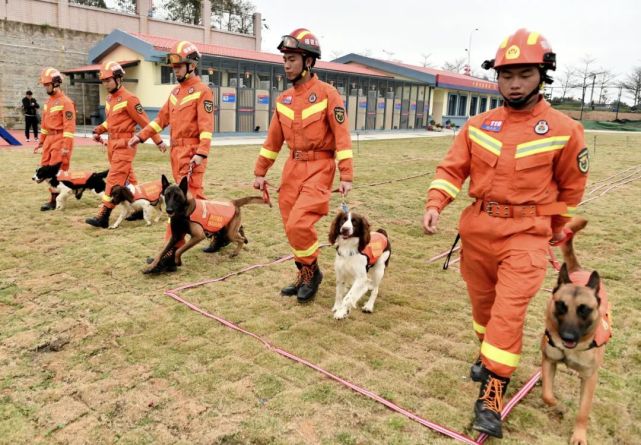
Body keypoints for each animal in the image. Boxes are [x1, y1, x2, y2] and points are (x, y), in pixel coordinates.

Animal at [544, 218, 612, 444]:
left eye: (584, 309)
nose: (568, 337)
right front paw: (557, 406)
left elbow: (583, 412)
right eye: (561, 306)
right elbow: (547, 394)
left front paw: (579, 435)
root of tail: (579, 269)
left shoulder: (590, 379)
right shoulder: (549, 361)